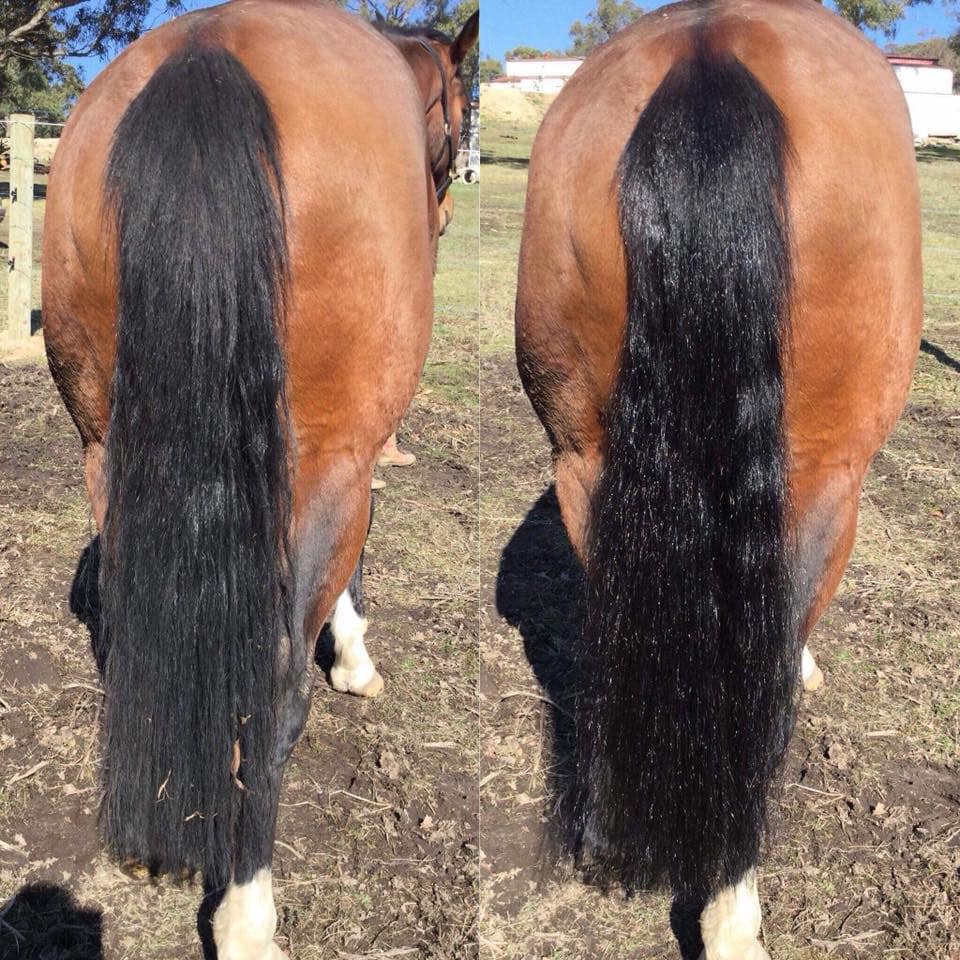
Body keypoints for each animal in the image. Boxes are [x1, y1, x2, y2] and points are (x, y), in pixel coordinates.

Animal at [41, 0, 476, 956]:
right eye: (455, 116)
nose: (445, 210)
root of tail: (208, 53)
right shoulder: (347, 461)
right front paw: (354, 659)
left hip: (107, 455)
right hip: (319, 467)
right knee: (273, 689)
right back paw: (247, 908)